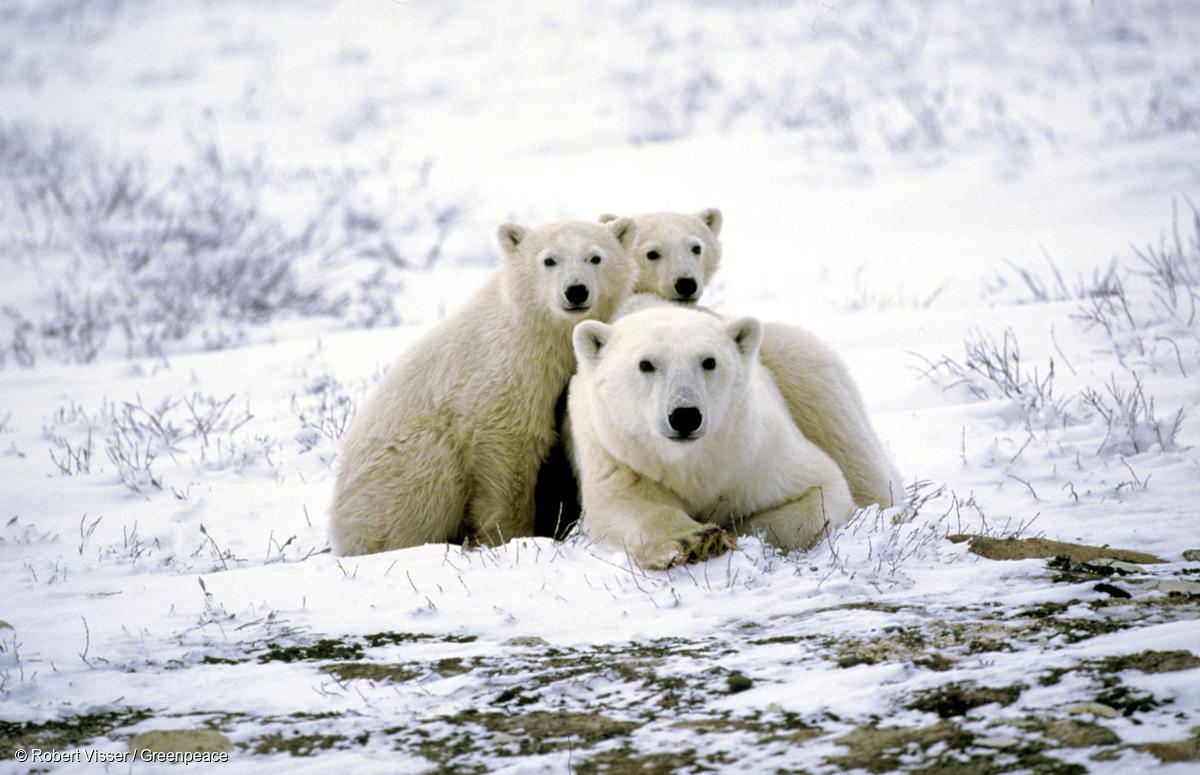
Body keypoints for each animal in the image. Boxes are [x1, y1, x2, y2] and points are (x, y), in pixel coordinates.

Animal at [328, 218, 643, 559]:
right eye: (549, 260)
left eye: (595, 257)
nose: (575, 290)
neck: (532, 328)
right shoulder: (506, 372)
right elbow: (509, 448)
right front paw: (510, 537)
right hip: (399, 472)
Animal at [568, 304, 859, 571]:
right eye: (645, 364)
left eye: (709, 361)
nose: (685, 415)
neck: (692, 461)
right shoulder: (619, 458)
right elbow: (620, 505)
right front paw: (697, 540)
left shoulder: (756, 454)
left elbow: (823, 489)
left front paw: (737, 529)